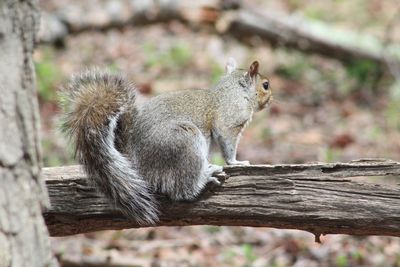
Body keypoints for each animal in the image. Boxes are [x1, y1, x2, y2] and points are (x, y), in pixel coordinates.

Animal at [61, 58, 274, 224]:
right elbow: (228, 144)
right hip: (185, 142)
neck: (234, 91)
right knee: (182, 190)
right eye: (265, 85)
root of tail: (134, 160)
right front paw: (236, 162)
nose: (271, 100)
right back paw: (205, 177)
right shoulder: (229, 122)